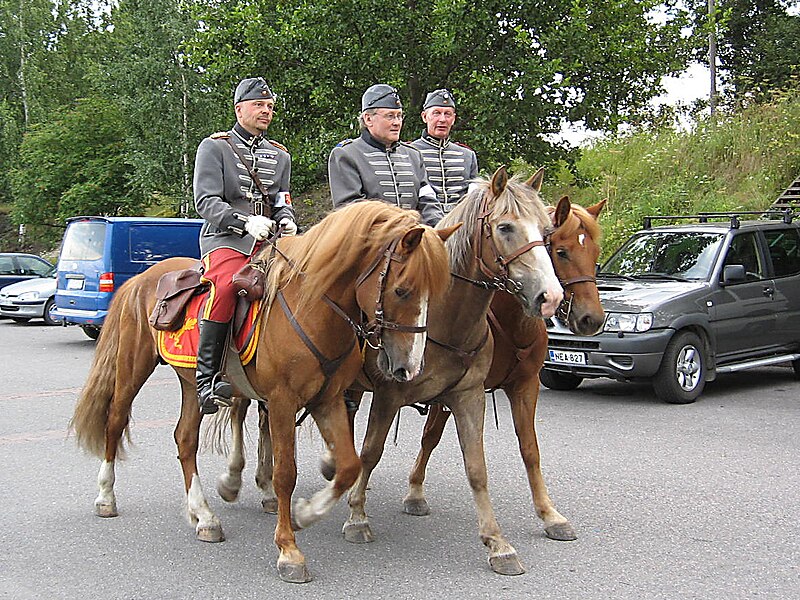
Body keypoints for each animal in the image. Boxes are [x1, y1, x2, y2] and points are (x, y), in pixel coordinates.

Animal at [69, 200, 456, 580]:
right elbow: (285, 473)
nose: (409, 367)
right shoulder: (283, 402)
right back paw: (106, 497)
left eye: (435, 295)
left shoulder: (327, 399)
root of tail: (142, 277)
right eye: (402, 290)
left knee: (185, 439)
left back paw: (203, 516)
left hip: (190, 383)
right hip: (132, 369)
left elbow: (348, 466)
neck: (311, 306)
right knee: (115, 422)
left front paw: (306, 513)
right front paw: (289, 550)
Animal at [404, 191, 604, 540]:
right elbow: (431, 436)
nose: (591, 319)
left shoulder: (525, 385)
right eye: (561, 251)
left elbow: (530, 449)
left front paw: (549, 514)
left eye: (595, 253)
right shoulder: (449, 390)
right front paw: (414, 491)